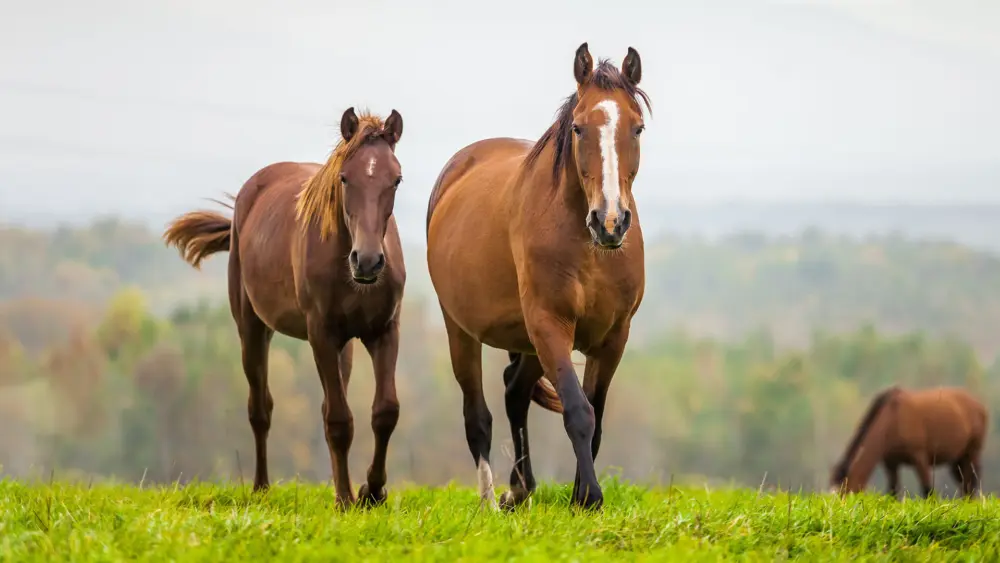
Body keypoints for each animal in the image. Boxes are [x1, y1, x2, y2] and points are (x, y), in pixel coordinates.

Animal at [163, 108, 406, 508]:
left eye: (396, 179)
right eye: (344, 178)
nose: (368, 262)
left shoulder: (383, 332)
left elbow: (384, 412)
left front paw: (371, 491)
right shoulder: (320, 334)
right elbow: (339, 421)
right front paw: (346, 499)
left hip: (344, 346)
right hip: (252, 329)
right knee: (260, 408)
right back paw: (262, 487)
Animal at [425, 43, 651, 511]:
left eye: (637, 128)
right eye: (579, 128)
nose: (610, 221)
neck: (589, 249)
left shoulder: (613, 336)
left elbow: (596, 414)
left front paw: (580, 494)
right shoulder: (550, 324)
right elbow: (578, 411)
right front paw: (589, 497)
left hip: (527, 340)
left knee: (514, 391)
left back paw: (519, 488)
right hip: (462, 330)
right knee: (478, 415)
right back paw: (490, 502)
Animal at [830, 385, 988, 499]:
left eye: (844, 495)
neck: (893, 418)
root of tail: (979, 405)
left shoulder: (920, 459)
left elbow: (928, 490)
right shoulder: (891, 464)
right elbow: (892, 493)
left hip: (971, 454)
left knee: (970, 482)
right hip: (957, 459)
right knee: (964, 483)